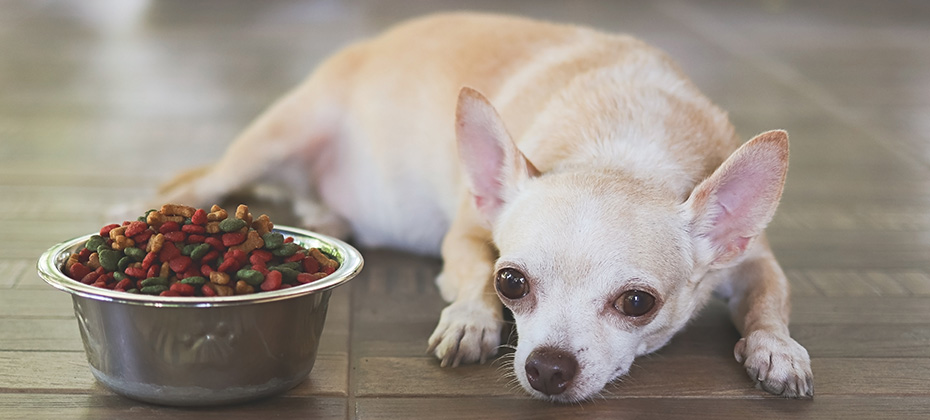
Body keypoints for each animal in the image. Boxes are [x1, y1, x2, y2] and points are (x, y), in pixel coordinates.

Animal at [125, 12, 812, 400]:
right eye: (512, 282)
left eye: (638, 304)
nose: (547, 368)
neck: (622, 151)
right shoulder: (465, 235)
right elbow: (470, 273)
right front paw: (472, 321)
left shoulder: (754, 259)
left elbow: (770, 300)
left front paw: (776, 349)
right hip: (272, 141)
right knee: (197, 183)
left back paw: (325, 216)